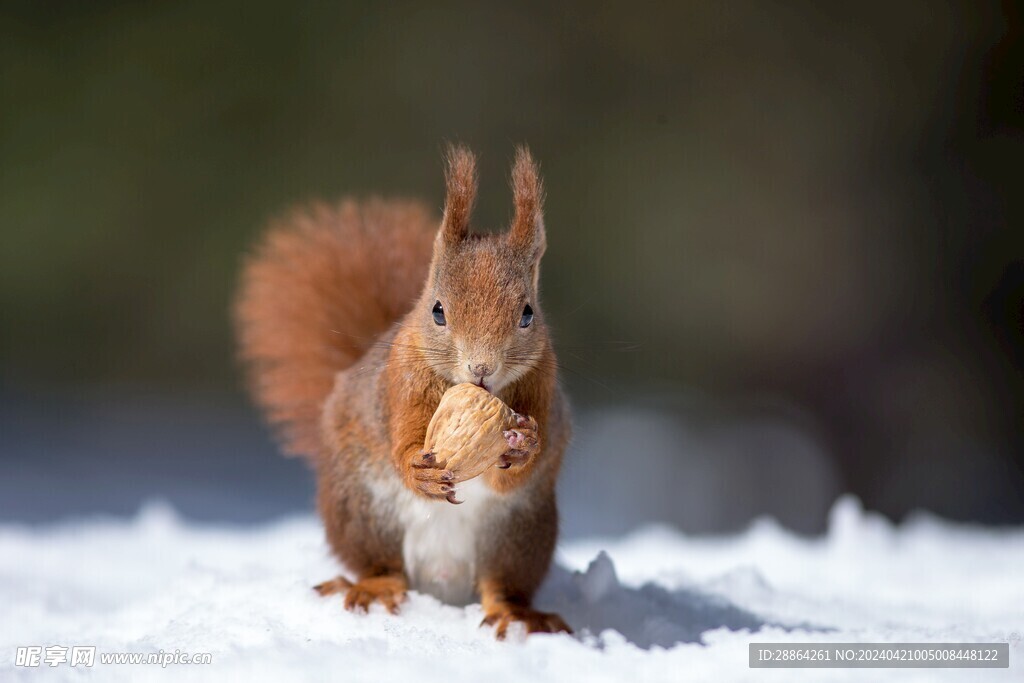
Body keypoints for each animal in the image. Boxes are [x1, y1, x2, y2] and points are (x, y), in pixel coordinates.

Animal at [234, 145, 577, 643]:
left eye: (528, 313)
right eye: (438, 311)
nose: (481, 369)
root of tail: (441, 578)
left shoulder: (542, 387)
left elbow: (515, 472)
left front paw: (522, 443)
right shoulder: (402, 385)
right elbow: (403, 441)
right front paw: (420, 470)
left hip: (519, 535)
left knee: (501, 585)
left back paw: (516, 615)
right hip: (364, 510)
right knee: (382, 565)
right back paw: (374, 589)